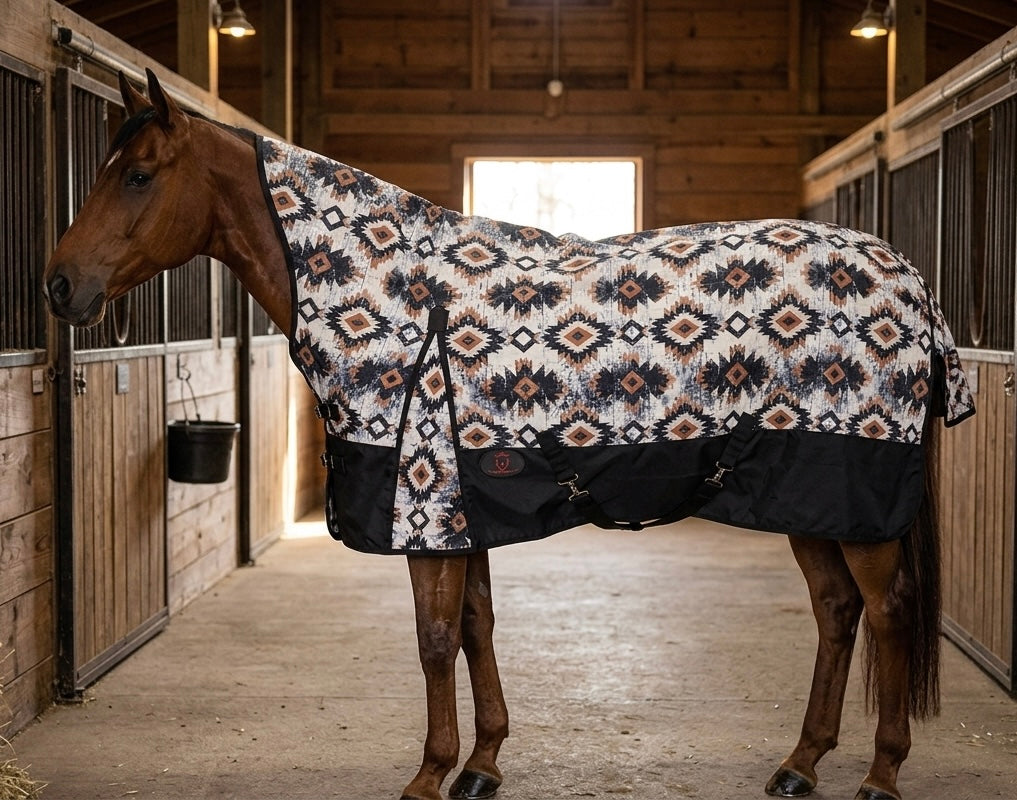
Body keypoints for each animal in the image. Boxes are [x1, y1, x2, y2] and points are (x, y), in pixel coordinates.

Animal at [45, 70, 975, 800]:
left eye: (137, 175)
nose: (59, 285)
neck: (404, 294)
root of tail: (906, 279)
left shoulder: (427, 514)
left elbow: (432, 641)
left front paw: (429, 773)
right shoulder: (463, 515)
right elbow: (475, 629)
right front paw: (482, 764)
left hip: (851, 498)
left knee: (887, 611)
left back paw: (880, 774)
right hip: (806, 498)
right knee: (835, 611)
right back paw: (800, 764)